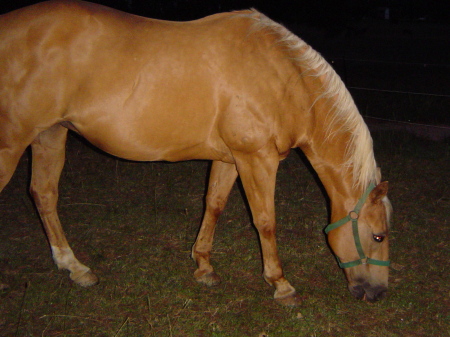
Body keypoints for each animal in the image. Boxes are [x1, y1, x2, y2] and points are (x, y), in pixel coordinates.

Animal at [0, 0, 392, 304]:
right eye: (378, 236)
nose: (378, 293)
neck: (283, 78)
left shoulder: (229, 158)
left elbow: (213, 204)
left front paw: (203, 265)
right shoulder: (257, 159)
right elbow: (265, 221)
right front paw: (281, 285)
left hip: (50, 135)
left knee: (44, 195)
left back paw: (75, 268)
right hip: (12, 144)